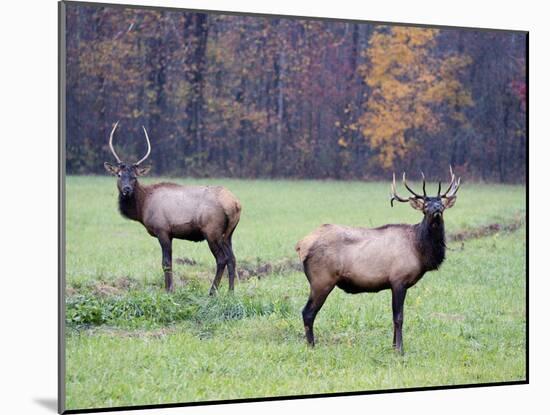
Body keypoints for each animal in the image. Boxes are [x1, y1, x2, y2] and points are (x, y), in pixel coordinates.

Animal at [103, 122, 242, 294]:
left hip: (212, 231)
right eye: (119, 175)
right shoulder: (170, 234)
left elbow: (166, 263)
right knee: (232, 258)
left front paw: (169, 290)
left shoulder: (162, 230)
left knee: (221, 259)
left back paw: (212, 292)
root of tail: (235, 204)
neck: (142, 207)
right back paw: (231, 291)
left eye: (135, 177)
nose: (127, 189)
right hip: (228, 234)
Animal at [298, 168, 462, 354]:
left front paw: (393, 346)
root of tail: (301, 245)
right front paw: (400, 350)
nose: (436, 209)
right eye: (425, 206)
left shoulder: (395, 284)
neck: (420, 250)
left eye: (441, 203)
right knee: (307, 312)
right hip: (321, 281)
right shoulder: (398, 280)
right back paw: (311, 346)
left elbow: (394, 317)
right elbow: (399, 317)